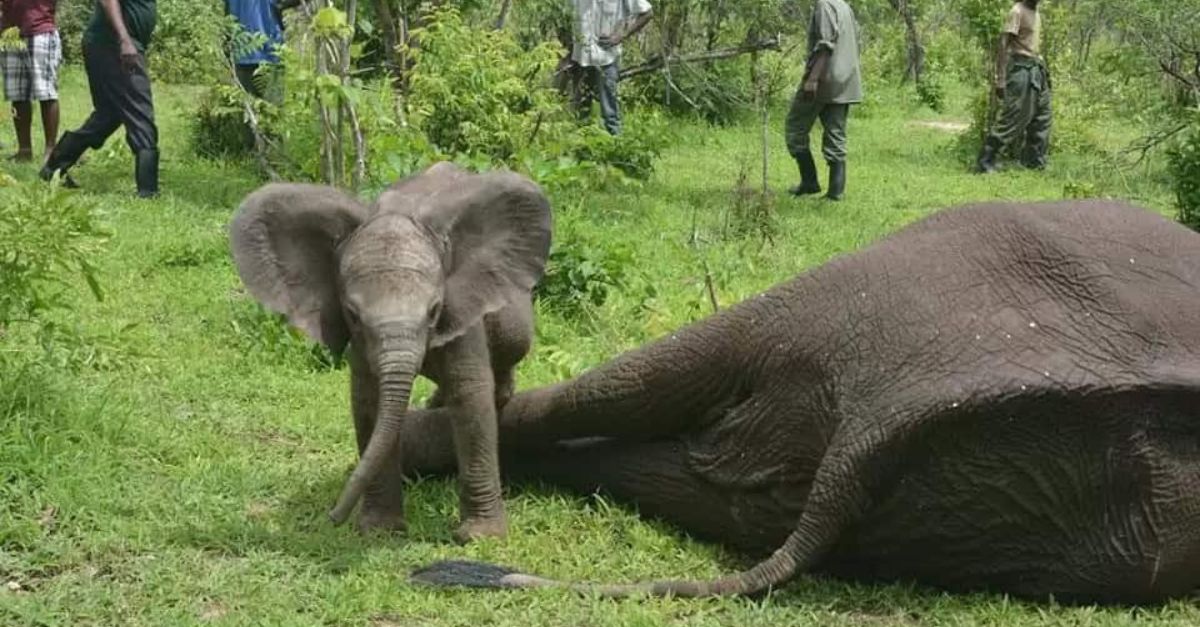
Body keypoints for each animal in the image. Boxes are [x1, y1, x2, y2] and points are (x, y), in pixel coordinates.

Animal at [228, 163, 552, 538]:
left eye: (434, 310)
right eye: (353, 314)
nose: (333, 517)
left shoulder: (460, 307)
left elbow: (470, 398)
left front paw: (479, 538)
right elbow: (368, 402)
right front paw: (379, 531)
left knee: (512, 347)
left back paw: (498, 397)